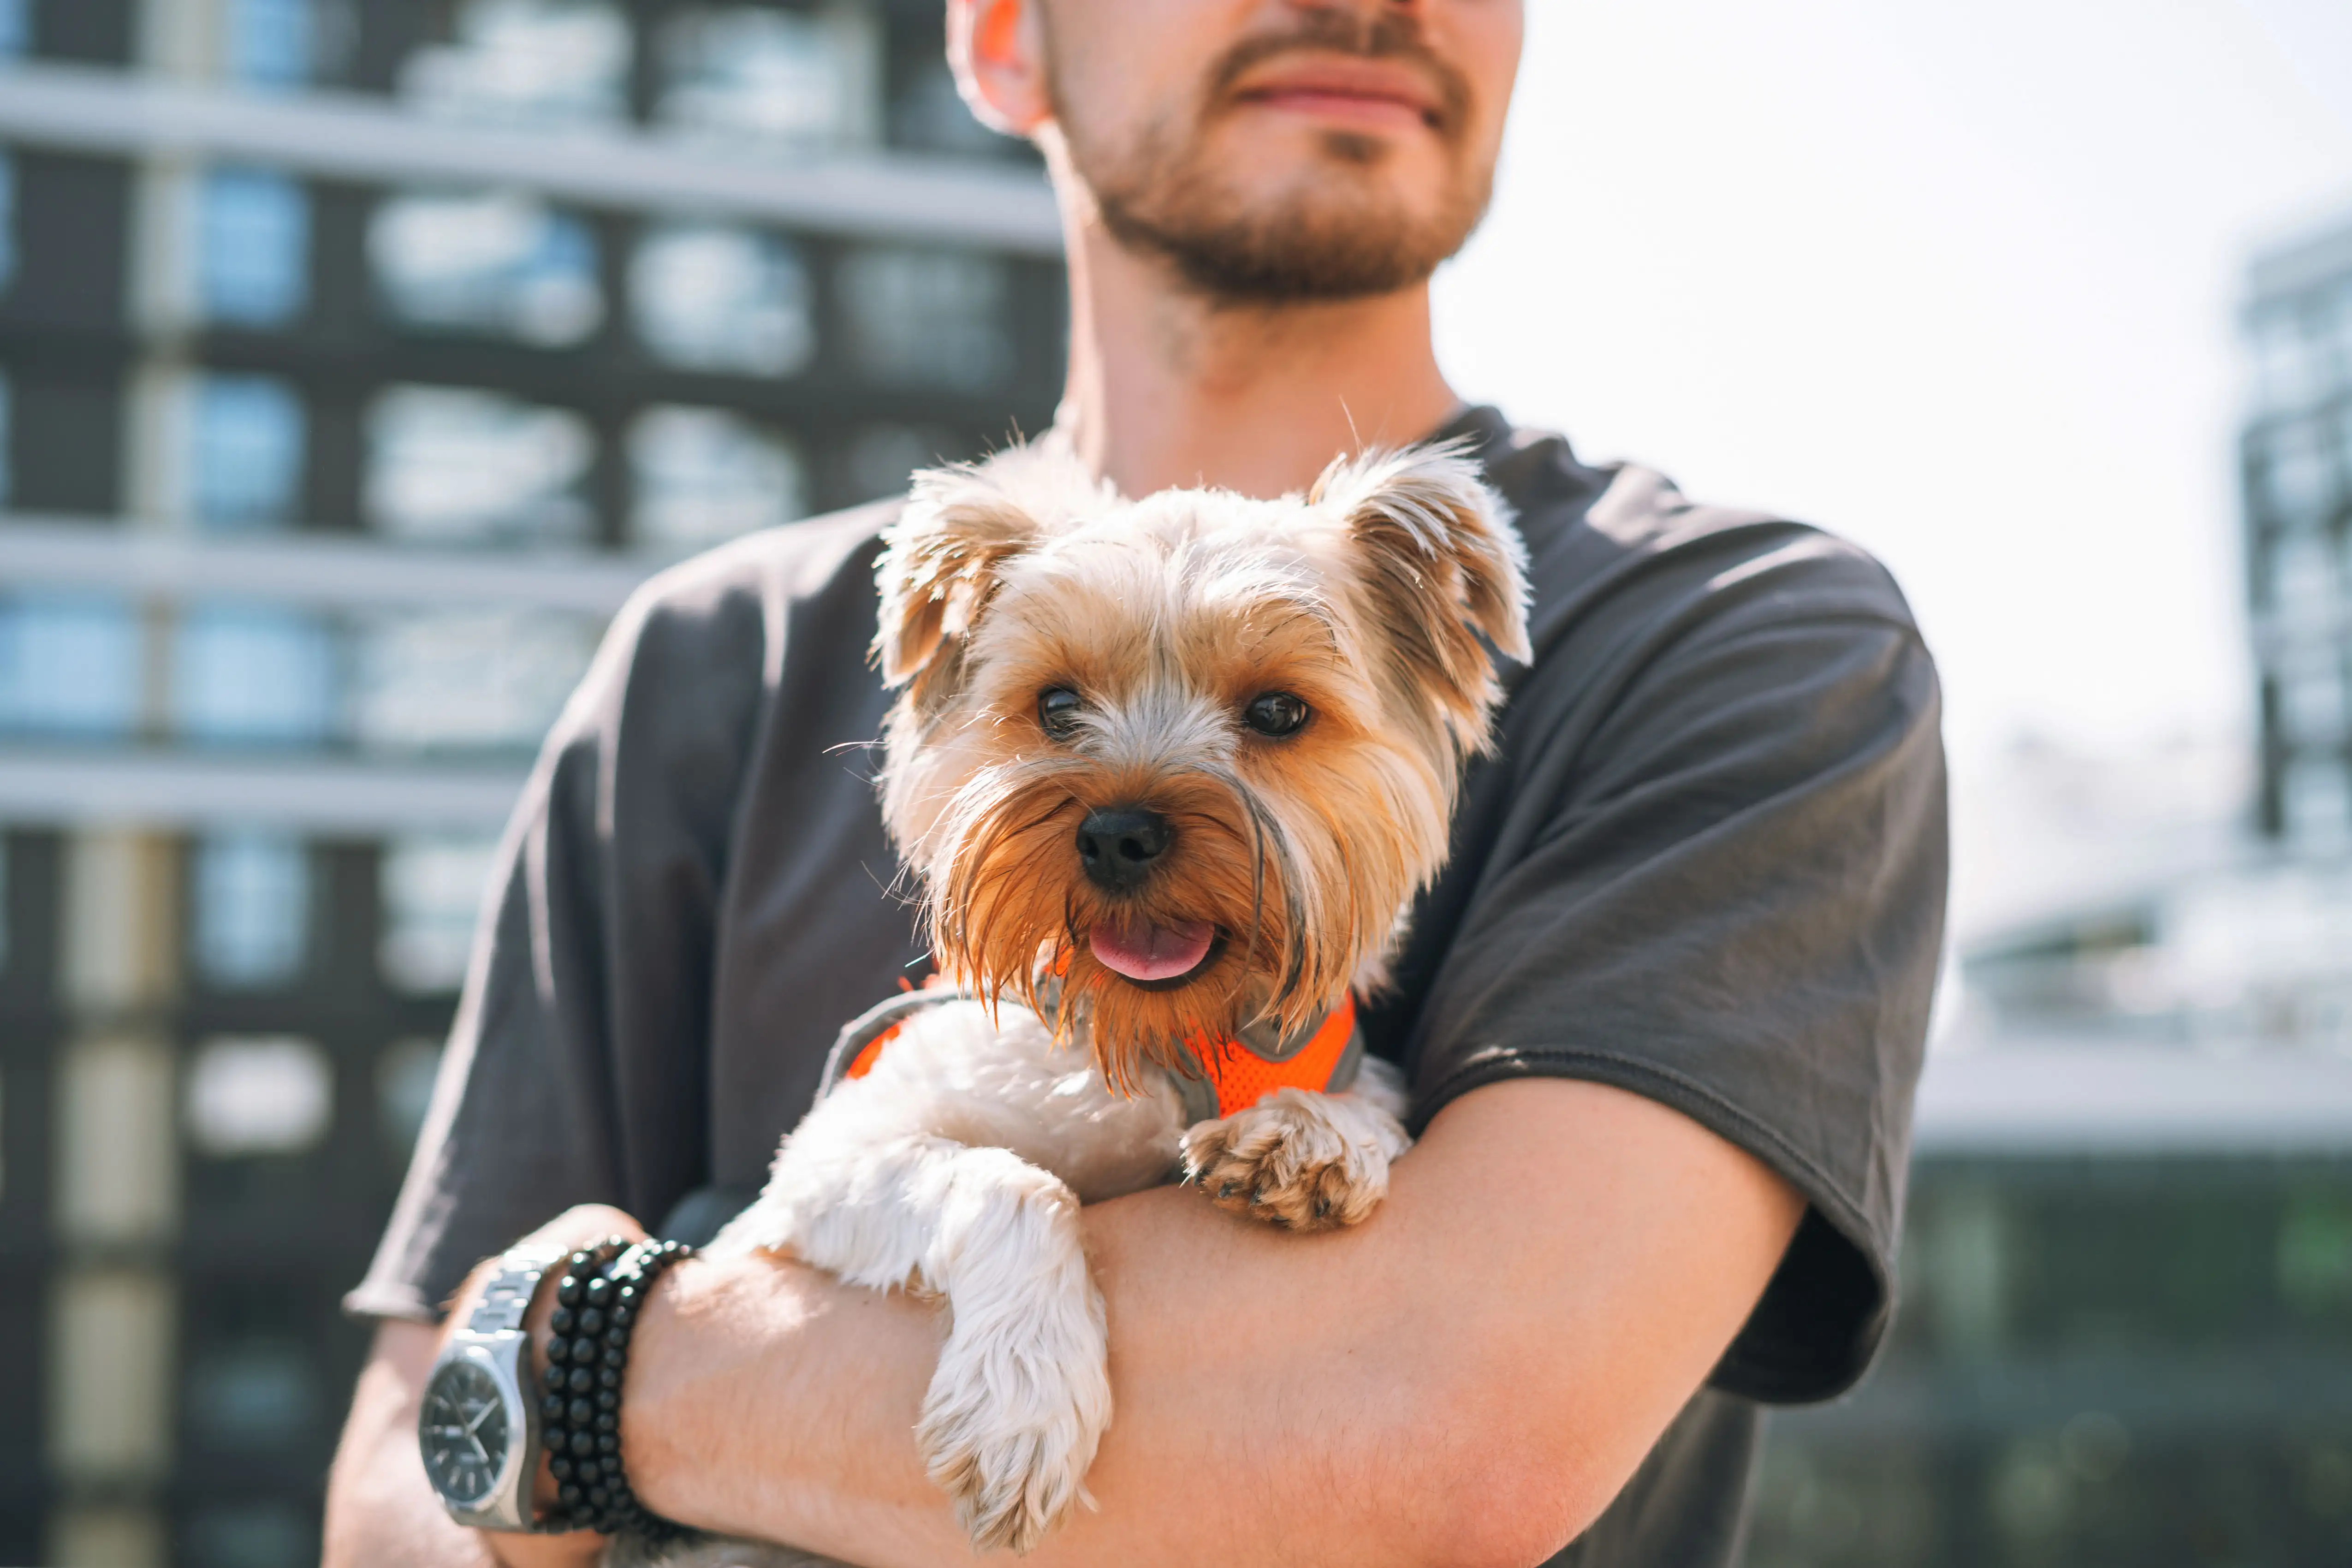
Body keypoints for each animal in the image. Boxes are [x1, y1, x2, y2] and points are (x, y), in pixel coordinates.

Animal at [644, 435, 1524, 1561]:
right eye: (1057, 705)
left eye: (1279, 711)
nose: (1117, 832)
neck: (1157, 1041)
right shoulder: (819, 1170)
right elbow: (1017, 1183)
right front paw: (1020, 1406)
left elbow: (1366, 1104)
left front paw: (1311, 1136)